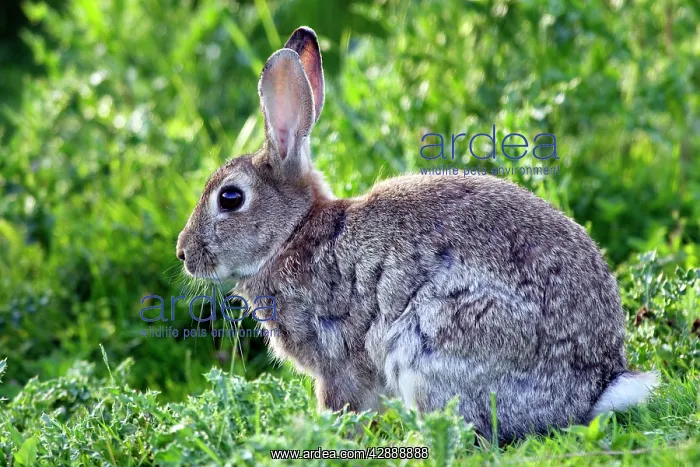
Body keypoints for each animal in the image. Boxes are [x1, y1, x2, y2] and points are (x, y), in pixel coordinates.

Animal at [176, 26, 659, 442]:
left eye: (230, 198)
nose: (183, 253)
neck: (292, 234)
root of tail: (592, 387)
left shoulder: (336, 361)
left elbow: (342, 407)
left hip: (433, 343)